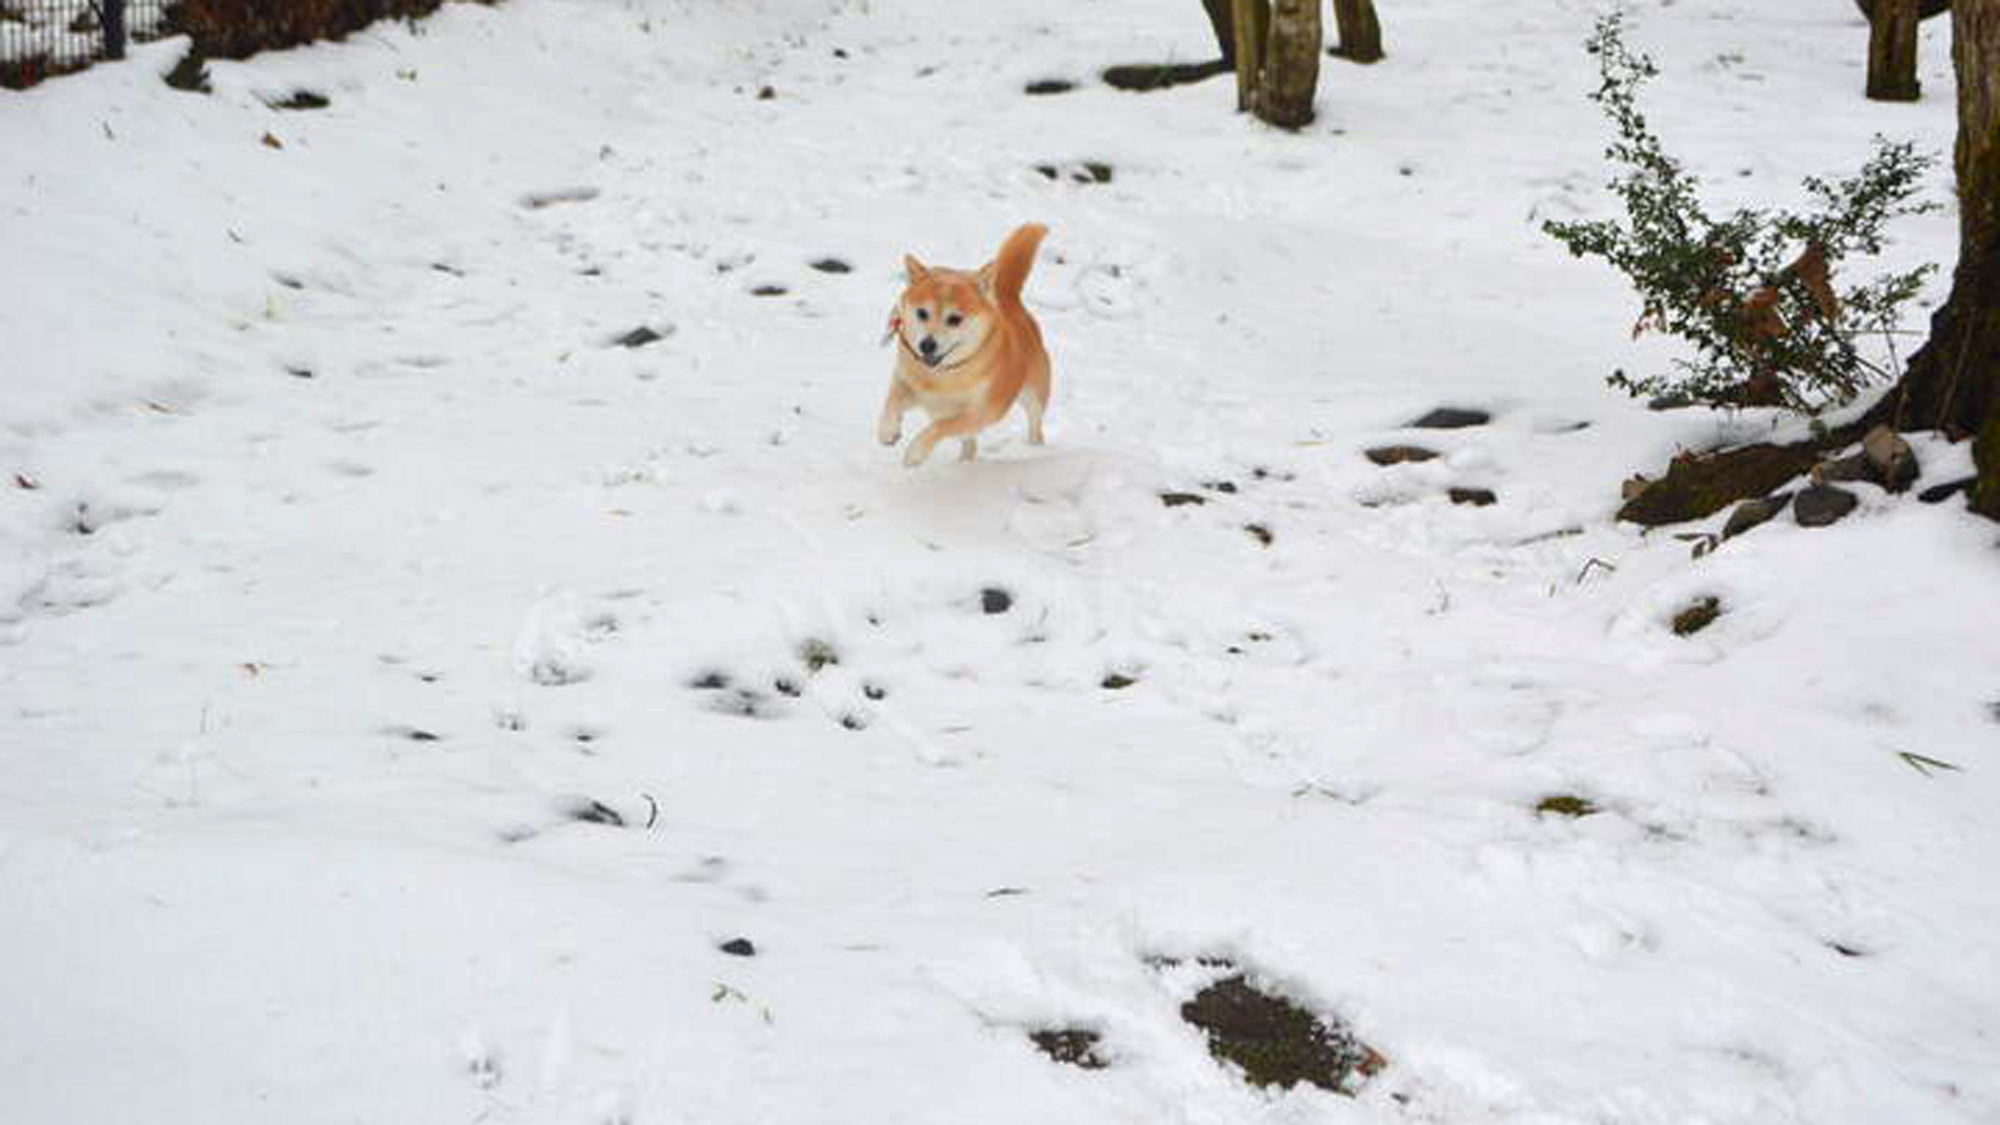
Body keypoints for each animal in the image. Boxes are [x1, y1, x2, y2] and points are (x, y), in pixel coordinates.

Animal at [884, 224, 1056, 464]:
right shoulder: (905, 382)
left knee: (1035, 423)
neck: (942, 375)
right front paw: (888, 431)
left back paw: (1034, 448)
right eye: (922, 313)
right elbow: (891, 402)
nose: (927, 345)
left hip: (1035, 394)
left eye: (954, 319)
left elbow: (942, 426)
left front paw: (916, 452)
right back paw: (965, 460)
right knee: (969, 442)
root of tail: (1006, 297)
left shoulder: (982, 412)